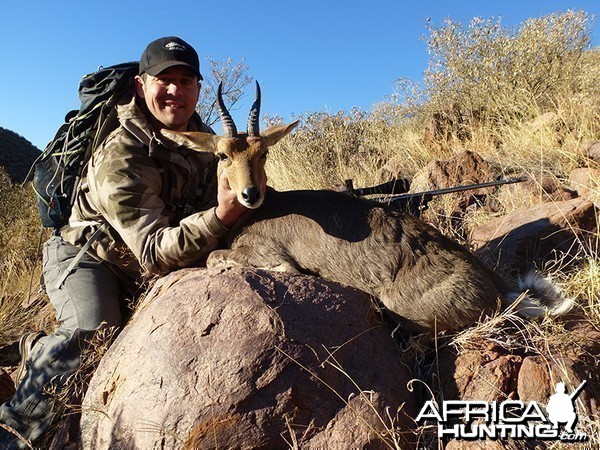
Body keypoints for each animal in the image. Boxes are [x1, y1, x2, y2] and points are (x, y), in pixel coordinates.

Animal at [163, 82, 572, 332]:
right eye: (222, 155)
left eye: (262, 153)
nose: (249, 193)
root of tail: (493, 282)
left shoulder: (265, 252)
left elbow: (217, 257)